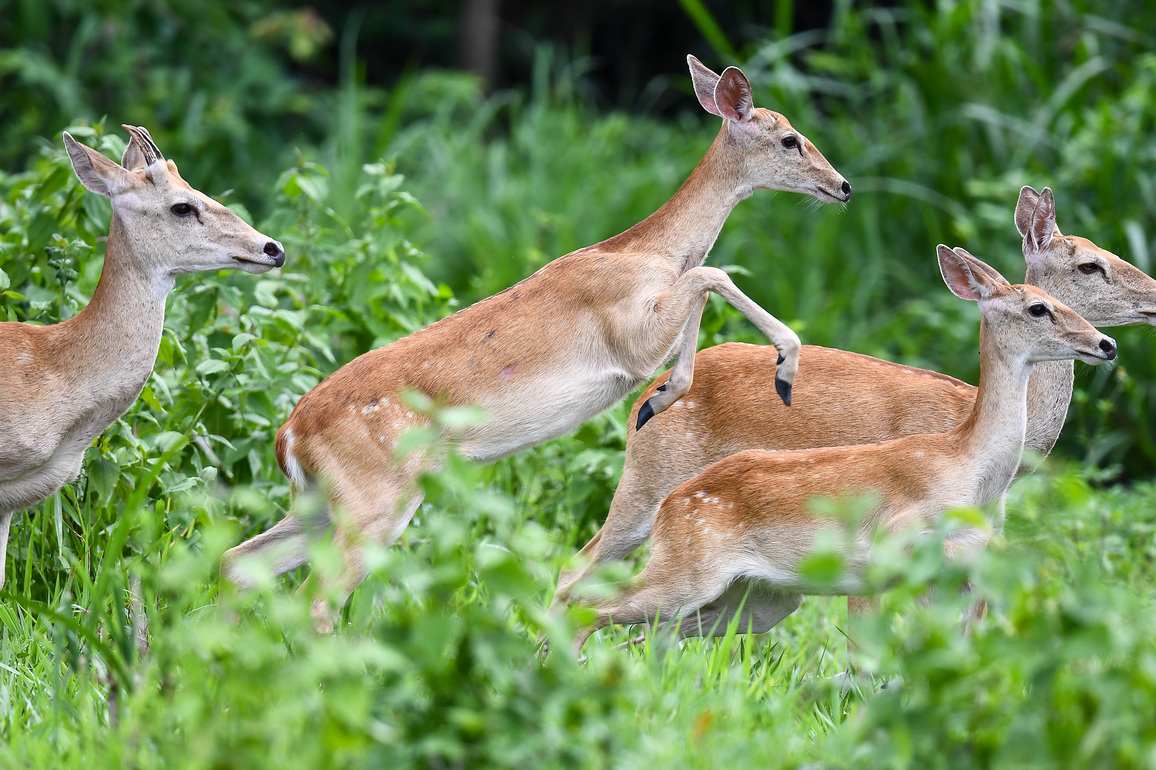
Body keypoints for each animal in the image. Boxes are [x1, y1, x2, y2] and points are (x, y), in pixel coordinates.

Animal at [219, 54, 853, 631]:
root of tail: (287, 436)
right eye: (790, 139)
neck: (646, 253)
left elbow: (703, 284)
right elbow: (711, 274)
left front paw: (662, 397)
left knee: (236, 562)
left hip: (322, 504)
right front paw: (776, 371)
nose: (843, 185)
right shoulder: (627, 335)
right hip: (375, 499)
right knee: (314, 601)